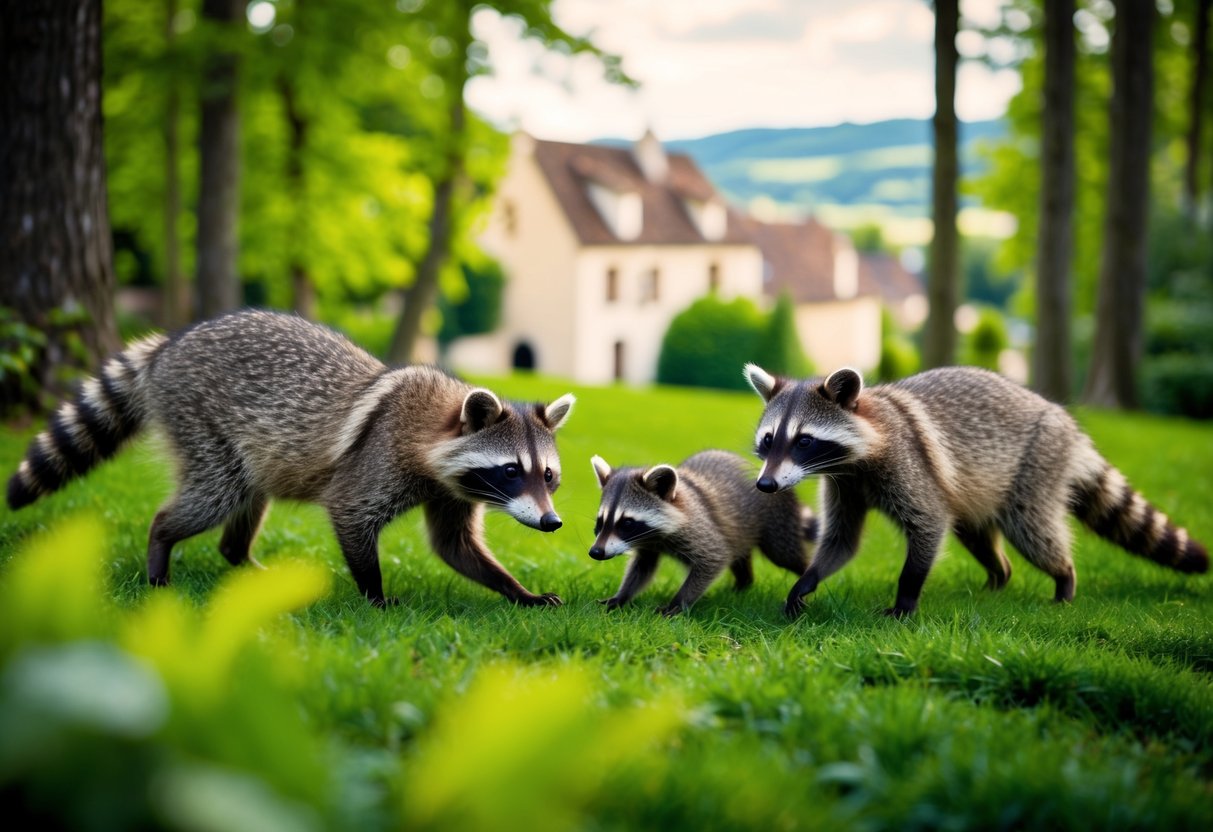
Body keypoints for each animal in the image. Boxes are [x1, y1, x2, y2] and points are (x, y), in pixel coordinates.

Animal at [7, 310, 576, 608]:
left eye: (548, 476)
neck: (439, 419)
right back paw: (160, 546)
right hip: (199, 418)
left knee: (246, 499)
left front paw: (516, 590)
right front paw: (374, 593)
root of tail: (168, 347)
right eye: (511, 471)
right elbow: (351, 513)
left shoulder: (452, 487)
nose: (552, 522)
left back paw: (240, 557)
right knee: (211, 496)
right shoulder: (381, 459)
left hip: (248, 450)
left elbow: (454, 545)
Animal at [588, 450, 816, 615]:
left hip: (777, 519)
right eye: (600, 522)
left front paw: (678, 603)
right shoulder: (649, 545)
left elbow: (714, 558)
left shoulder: (699, 528)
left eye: (626, 523)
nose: (595, 552)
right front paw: (622, 595)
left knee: (785, 554)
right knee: (738, 557)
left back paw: (803, 580)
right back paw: (741, 586)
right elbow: (642, 568)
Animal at [744, 363, 1208, 618]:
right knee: (977, 534)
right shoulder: (845, 485)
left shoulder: (907, 464)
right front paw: (808, 579)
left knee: (1034, 531)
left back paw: (1064, 579)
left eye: (804, 440)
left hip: (1037, 466)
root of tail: (1066, 424)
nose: (766, 484)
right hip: (981, 494)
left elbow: (929, 524)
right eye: (768, 440)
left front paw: (906, 597)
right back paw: (997, 578)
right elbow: (842, 540)